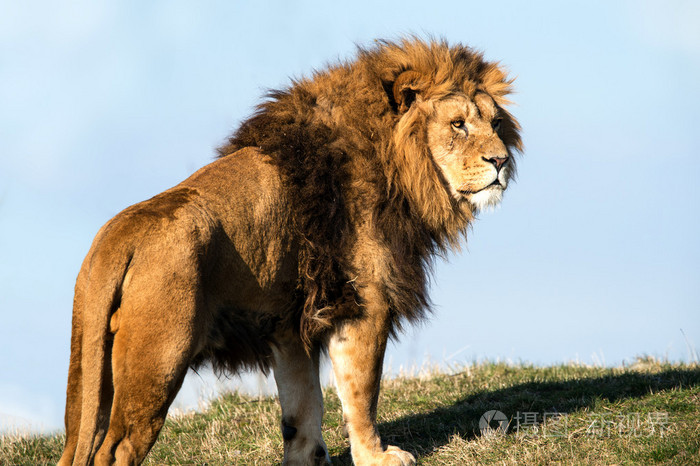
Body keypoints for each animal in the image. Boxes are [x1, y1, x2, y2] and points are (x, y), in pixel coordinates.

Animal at [58, 38, 520, 464]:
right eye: (457, 124)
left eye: (496, 122)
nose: (501, 161)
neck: (399, 169)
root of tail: (120, 236)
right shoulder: (363, 305)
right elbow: (361, 394)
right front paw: (377, 456)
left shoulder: (288, 324)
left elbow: (302, 408)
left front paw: (308, 458)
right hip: (157, 361)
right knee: (115, 450)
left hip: (88, 370)